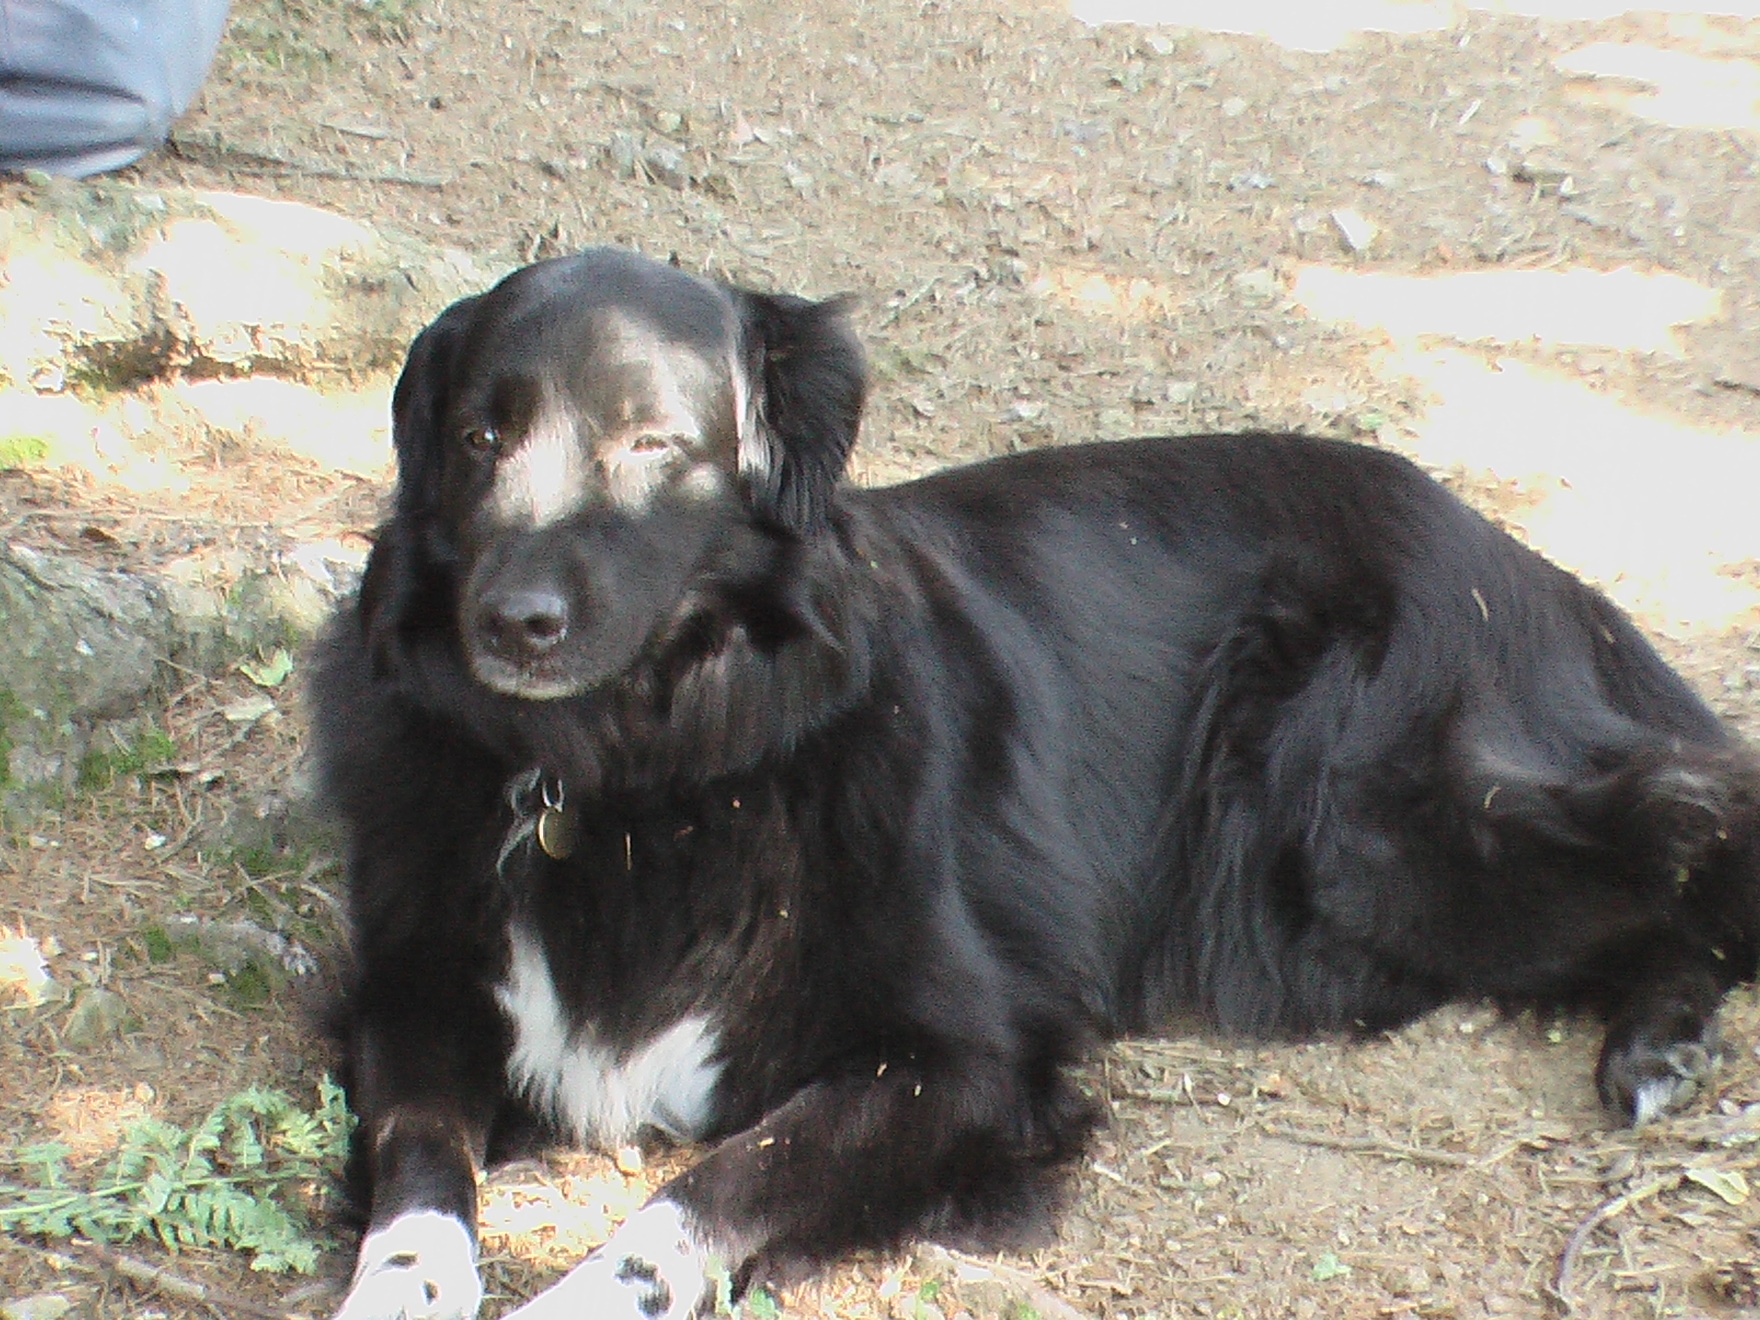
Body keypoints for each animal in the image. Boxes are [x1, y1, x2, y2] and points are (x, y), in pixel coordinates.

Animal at [309, 247, 1760, 1320]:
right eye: (479, 434)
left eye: (651, 443)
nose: (508, 623)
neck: (636, 775)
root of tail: (1517, 558)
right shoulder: (416, 987)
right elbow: (420, 1168)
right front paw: (401, 1286)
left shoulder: (965, 1060)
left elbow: (710, 1188)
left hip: (1384, 834)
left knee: (1695, 841)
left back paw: (1660, 1039)